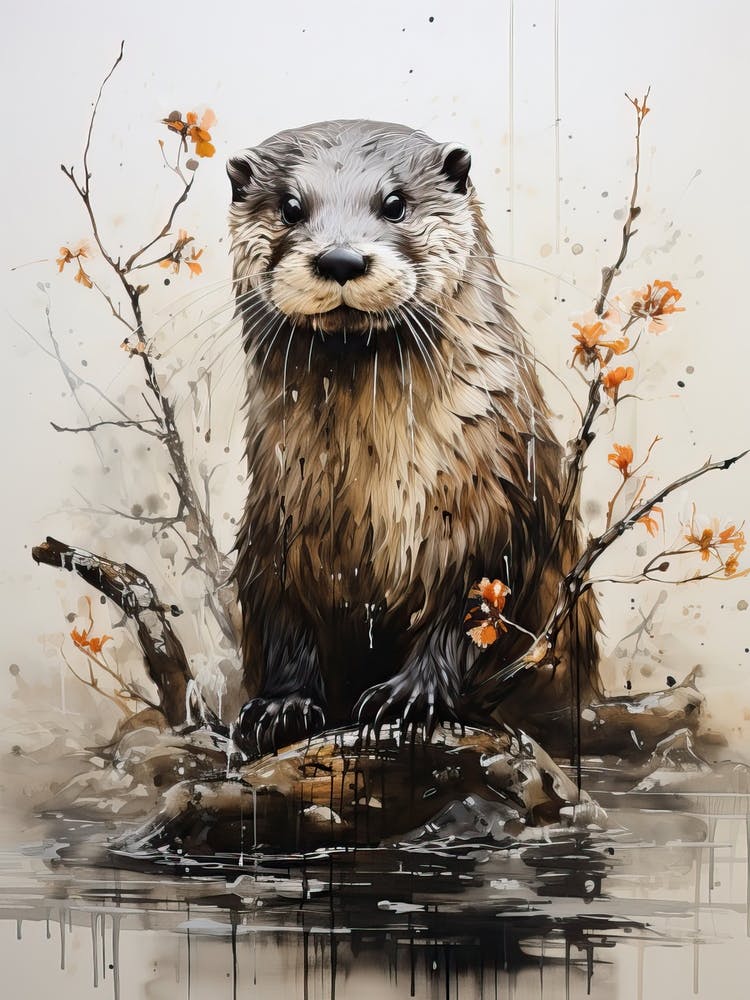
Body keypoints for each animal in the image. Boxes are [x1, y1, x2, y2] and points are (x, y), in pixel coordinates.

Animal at [226, 120, 600, 756]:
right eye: (290, 207)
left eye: (396, 203)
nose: (341, 257)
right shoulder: (275, 521)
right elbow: (282, 612)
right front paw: (282, 705)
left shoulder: (496, 507)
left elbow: (467, 612)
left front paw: (408, 696)